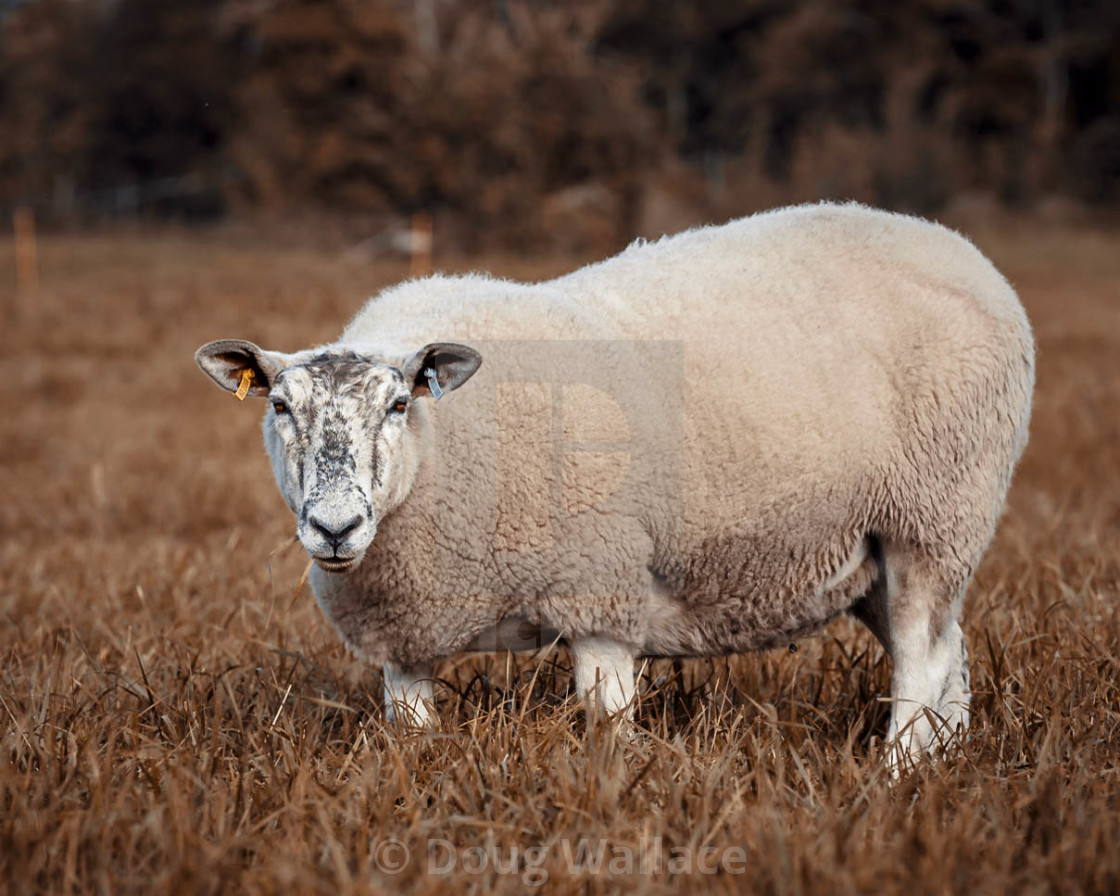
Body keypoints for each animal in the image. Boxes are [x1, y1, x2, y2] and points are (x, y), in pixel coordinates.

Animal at [197, 199, 1034, 761]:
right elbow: (415, 737)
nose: (335, 527)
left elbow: (605, 725)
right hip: (877, 553)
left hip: (936, 514)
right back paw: (944, 764)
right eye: (279, 406)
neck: (444, 450)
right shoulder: (408, 636)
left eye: (399, 403)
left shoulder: (599, 587)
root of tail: (963, 252)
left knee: (923, 659)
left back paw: (897, 774)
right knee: (950, 654)